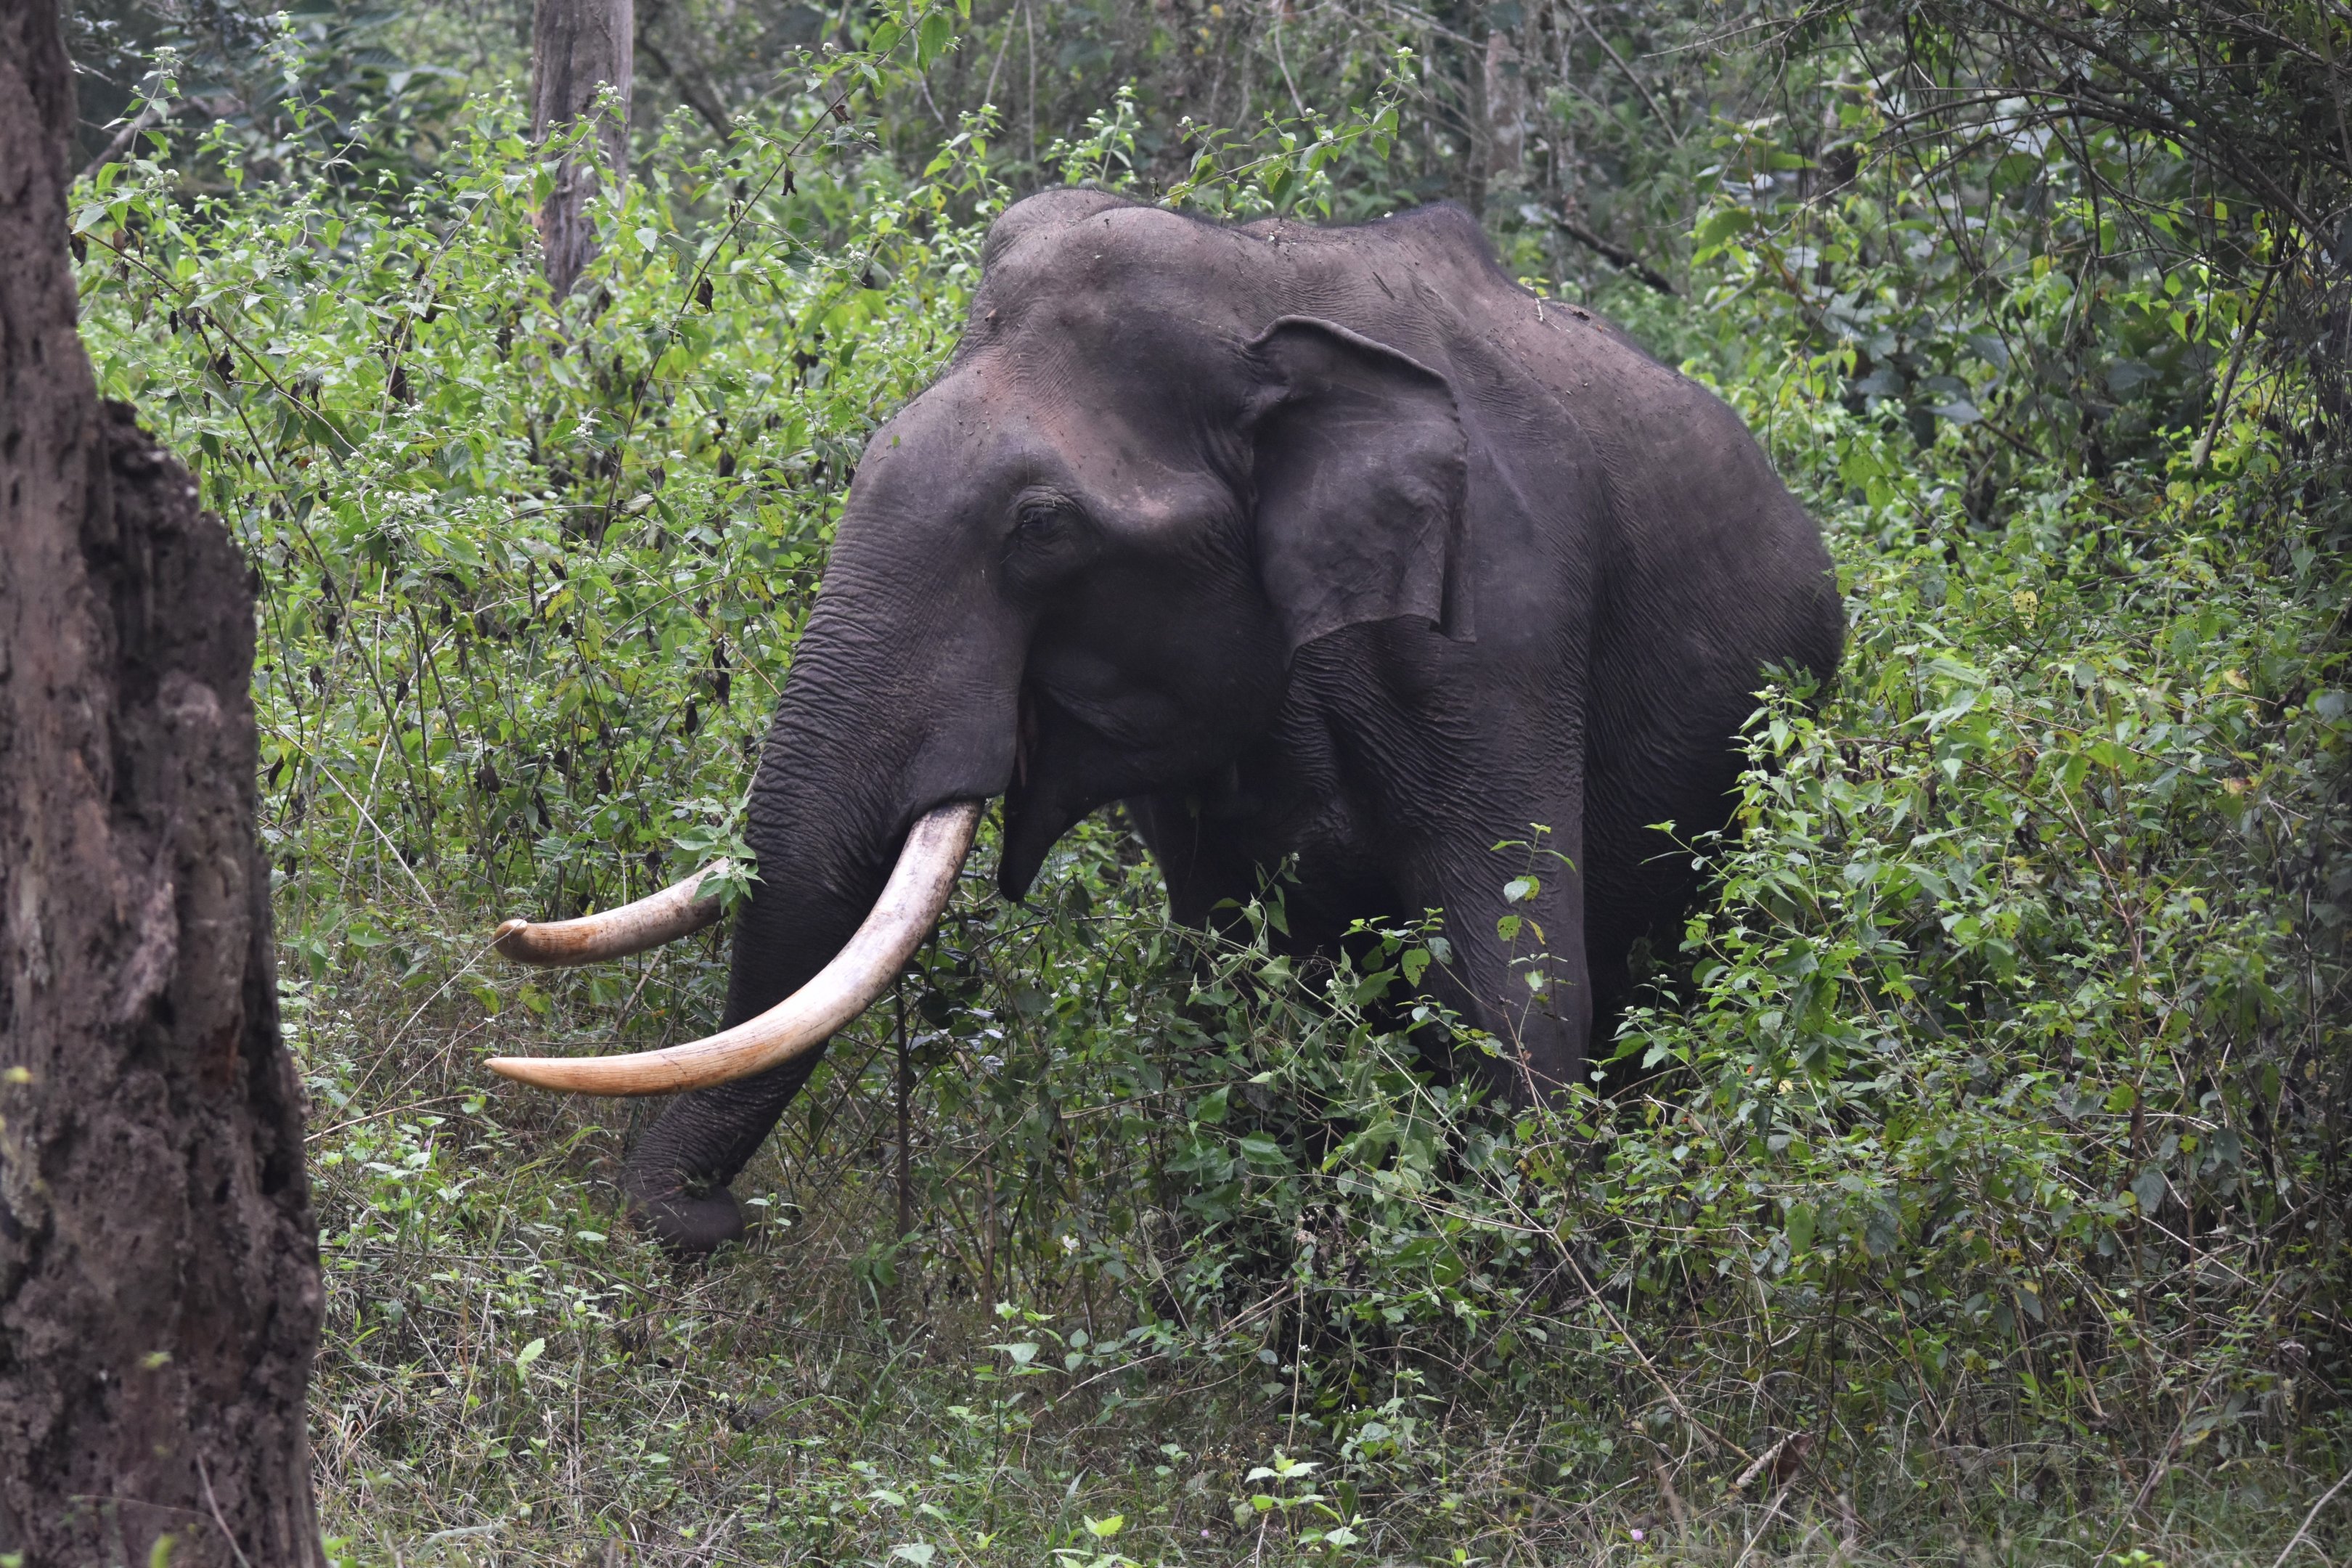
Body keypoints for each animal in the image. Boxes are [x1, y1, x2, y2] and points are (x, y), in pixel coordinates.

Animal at [477, 189, 1843, 1255]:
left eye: (1043, 529)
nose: (715, 1221)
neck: (1263, 295)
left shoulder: (1501, 622)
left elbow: (1511, 981)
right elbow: (1233, 1001)